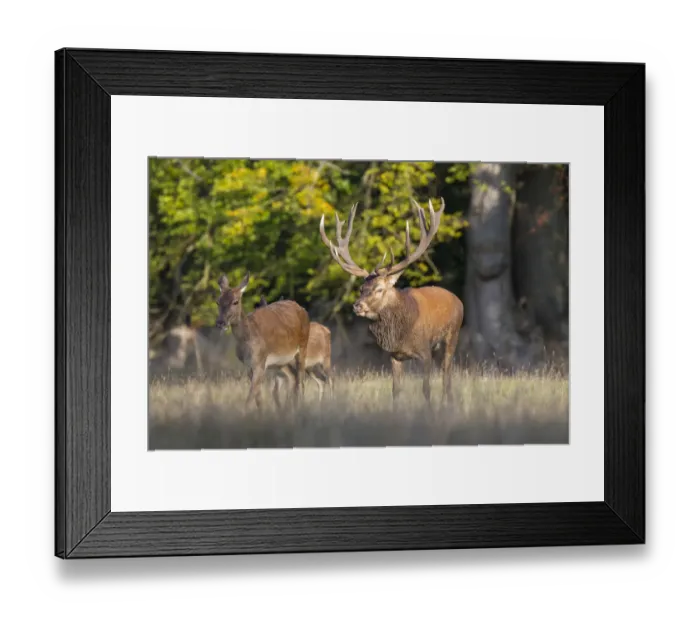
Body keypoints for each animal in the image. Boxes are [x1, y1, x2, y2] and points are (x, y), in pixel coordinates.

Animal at [215, 272, 310, 411]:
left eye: (235, 302)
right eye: (218, 301)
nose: (220, 323)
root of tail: (302, 308)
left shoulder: (260, 361)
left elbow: (250, 397)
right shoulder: (249, 365)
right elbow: (258, 398)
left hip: (303, 348)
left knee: (300, 382)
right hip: (281, 362)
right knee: (292, 379)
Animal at [320, 198, 464, 410]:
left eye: (379, 288)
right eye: (361, 289)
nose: (357, 306)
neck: (402, 333)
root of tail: (458, 300)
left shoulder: (424, 351)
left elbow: (426, 389)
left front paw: (429, 411)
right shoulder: (395, 355)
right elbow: (395, 390)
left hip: (452, 335)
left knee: (447, 376)